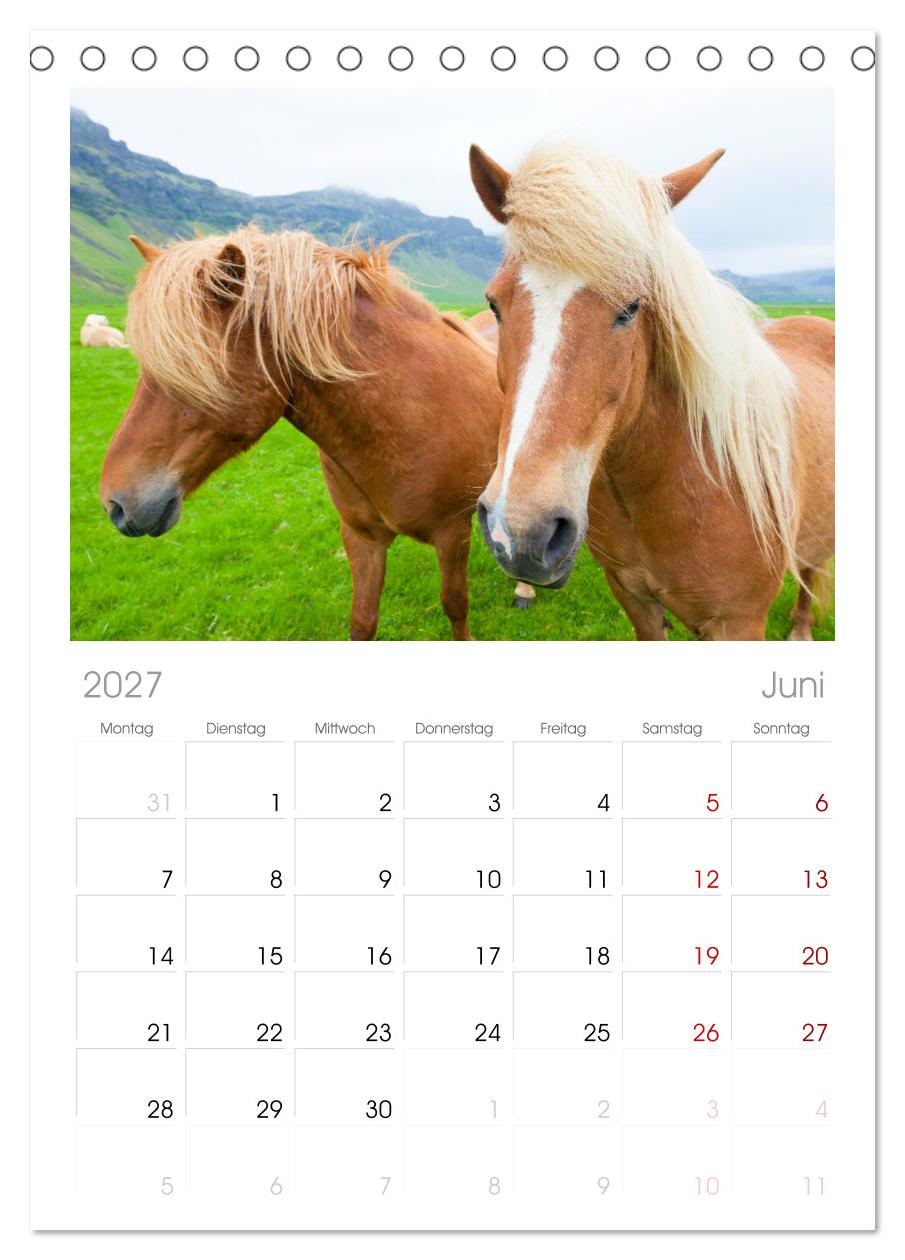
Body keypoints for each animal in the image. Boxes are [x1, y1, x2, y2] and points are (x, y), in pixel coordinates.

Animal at [98, 226, 534, 639]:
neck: (404, 415)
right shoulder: (362, 537)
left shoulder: (451, 533)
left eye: (190, 365)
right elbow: (362, 622)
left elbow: (455, 605)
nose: (115, 504)